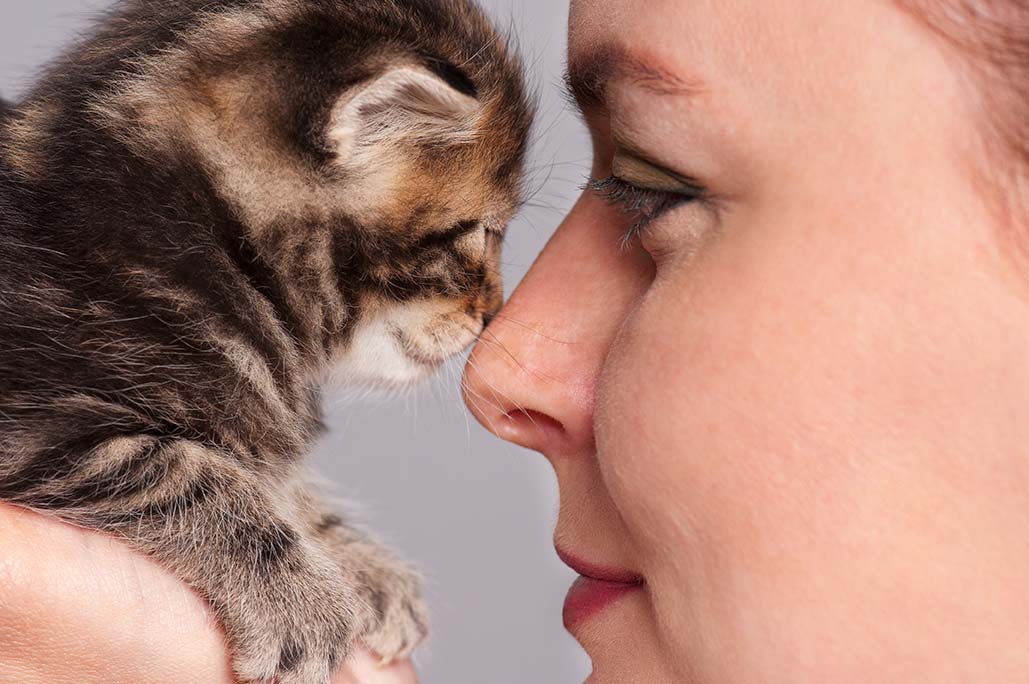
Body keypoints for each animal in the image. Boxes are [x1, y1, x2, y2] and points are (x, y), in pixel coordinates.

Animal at [0, 2, 530, 678]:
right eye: (484, 231)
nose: (493, 316)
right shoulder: (38, 420)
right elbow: (189, 474)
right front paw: (299, 603)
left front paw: (353, 555)